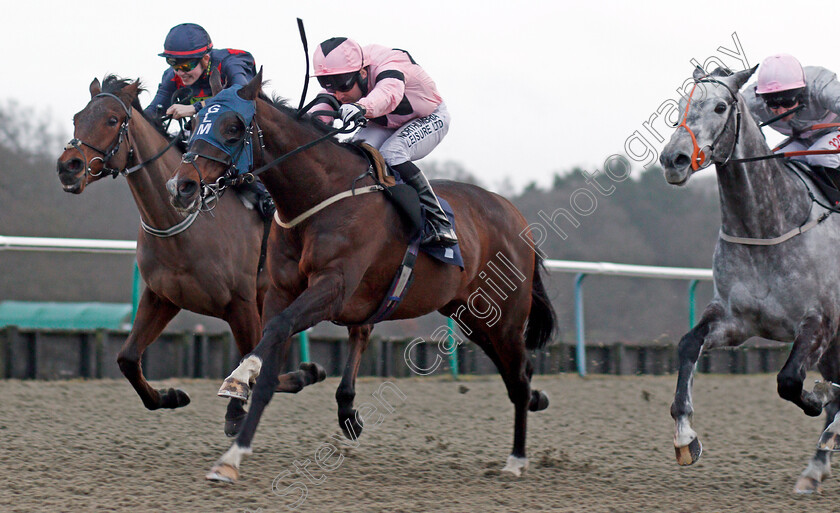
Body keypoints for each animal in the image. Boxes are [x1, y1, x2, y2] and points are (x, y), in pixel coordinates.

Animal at [55, 76, 332, 434]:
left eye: (112, 120)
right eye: (77, 118)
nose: (68, 167)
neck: (182, 227)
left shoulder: (241, 303)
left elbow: (250, 361)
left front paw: (241, 409)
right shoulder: (162, 297)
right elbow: (127, 358)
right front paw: (169, 396)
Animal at [164, 70, 556, 482]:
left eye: (234, 127)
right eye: (197, 119)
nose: (180, 187)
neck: (320, 197)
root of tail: (515, 216)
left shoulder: (333, 288)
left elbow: (277, 330)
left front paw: (240, 378)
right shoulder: (280, 292)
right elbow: (270, 364)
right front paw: (233, 455)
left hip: (505, 316)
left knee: (518, 377)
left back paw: (516, 459)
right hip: (474, 317)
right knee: (518, 371)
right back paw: (534, 406)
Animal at [660, 64, 840, 492]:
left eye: (721, 106)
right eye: (679, 106)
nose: (674, 159)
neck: (766, 227)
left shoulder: (821, 320)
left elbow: (789, 380)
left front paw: (818, 399)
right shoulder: (735, 320)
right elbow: (688, 344)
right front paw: (685, 437)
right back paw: (816, 466)